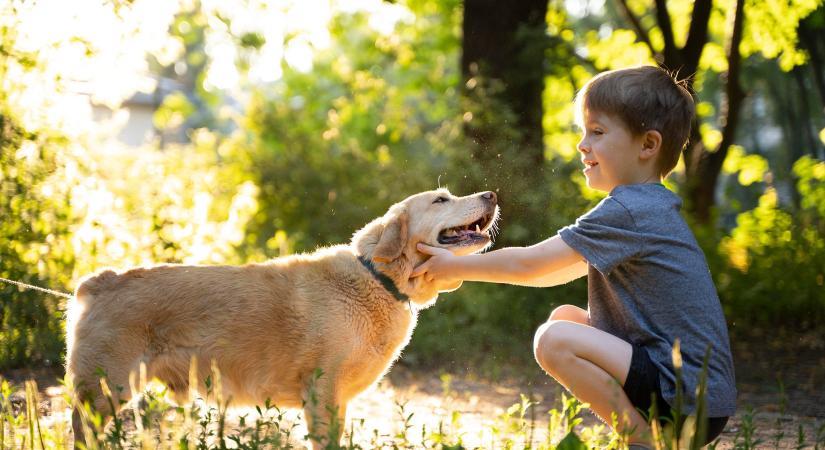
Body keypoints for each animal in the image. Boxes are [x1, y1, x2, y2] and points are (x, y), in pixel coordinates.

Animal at [66, 188, 496, 448]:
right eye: (441, 199)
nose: (490, 194)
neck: (377, 277)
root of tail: (103, 280)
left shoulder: (338, 402)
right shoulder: (322, 394)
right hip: (103, 393)